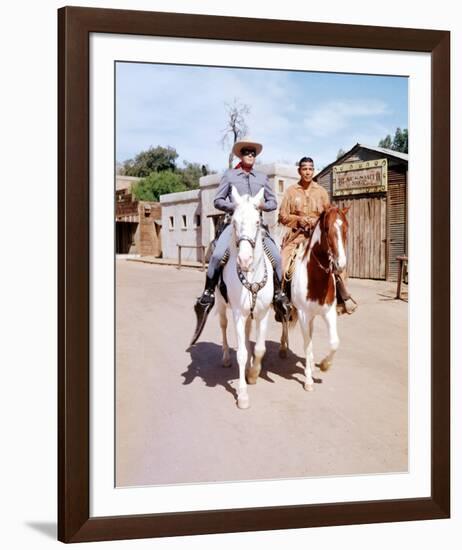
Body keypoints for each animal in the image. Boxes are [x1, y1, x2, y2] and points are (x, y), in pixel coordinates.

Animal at [217, 188, 274, 408]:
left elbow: (259, 348)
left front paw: (253, 373)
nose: (244, 260)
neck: (251, 276)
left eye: (257, 222)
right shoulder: (238, 315)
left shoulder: (263, 314)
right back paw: (225, 358)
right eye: (233, 222)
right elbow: (241, 353)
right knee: (223, 326)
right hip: (221, 305)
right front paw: (242, 394)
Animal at [282, 207, 350, 392]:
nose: (340, 264)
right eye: (327, 229)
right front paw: (308, 380)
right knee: (284, 324)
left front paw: (324, 365)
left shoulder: (329, 313)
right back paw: (282, 349)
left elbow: (334, 342)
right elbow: (307, 344)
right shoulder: (303, 315)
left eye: (346, 229)